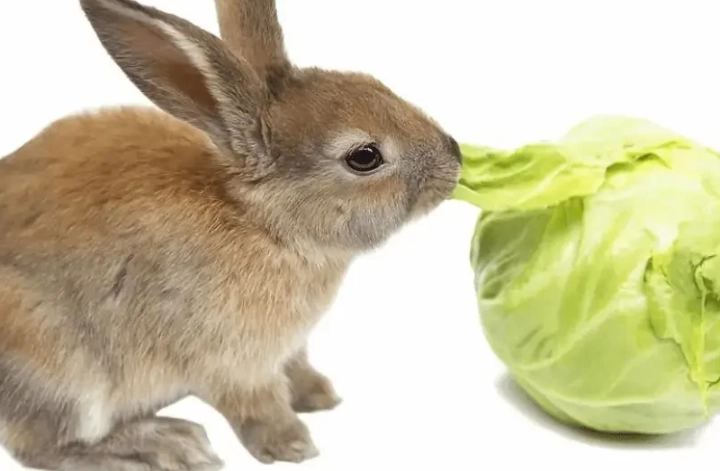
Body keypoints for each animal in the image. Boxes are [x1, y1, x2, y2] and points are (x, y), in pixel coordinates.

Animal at [0, 0, 462, 469]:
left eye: (372, 82)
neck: (261, 223)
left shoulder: (288, 349)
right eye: (364, 157)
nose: (455, 156)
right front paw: (294, 444)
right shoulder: (235, 364)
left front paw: (319, 395)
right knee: (44, 445)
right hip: (61, 370)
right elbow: (257, 405)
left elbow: (296, 368)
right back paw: (170, 444)